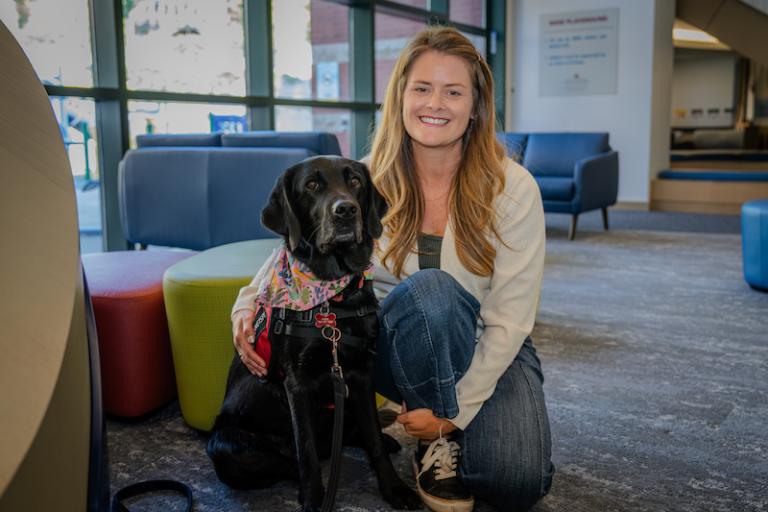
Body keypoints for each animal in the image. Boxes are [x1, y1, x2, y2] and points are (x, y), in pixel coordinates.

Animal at [207, 156, 420, 512]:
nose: (346, 210)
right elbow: (305, 454)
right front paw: (315, 500)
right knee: (293, 461)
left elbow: (374, 439)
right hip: (226, 445)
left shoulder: (360, 374)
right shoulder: (298, 384)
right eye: (311, 185)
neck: (333, 301)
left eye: (355, 181)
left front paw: (394, 487)